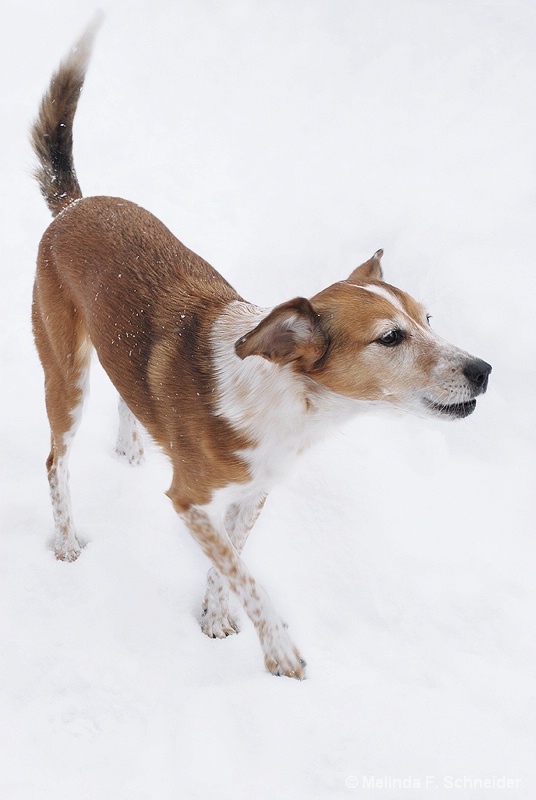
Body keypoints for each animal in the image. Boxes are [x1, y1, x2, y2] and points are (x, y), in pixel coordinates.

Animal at [29, 21, 490, 680]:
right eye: (390, 337)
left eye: (429, 319)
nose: (484, 370)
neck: (292, 403)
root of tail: (73, 206)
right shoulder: (188, 499)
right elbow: (246, 573)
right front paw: (277, 647)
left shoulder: (253, 495)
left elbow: (229, 563)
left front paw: (214, 617)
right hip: (65, 372)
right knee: (55, 461)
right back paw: (67, 540)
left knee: (125, 391)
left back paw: (131, 441)